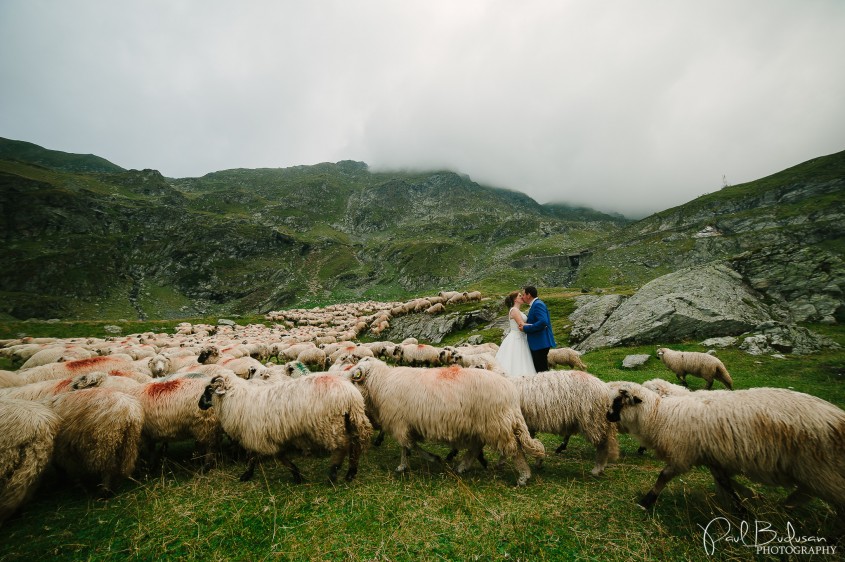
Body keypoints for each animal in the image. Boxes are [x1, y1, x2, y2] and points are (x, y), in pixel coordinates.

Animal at [199, 368, 370, 482]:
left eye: (209, 389)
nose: (199, 404)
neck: (236, 398)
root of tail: (351, 395)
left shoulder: (257, 435)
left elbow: (265, 456)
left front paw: (247, 474)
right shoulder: (266, 436)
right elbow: (276, 455)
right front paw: (296, 474)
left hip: (329, 425)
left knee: (343, 446)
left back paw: (333, 472)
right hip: (350, 420)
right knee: (356, 444)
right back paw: (351, 472)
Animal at [346, 358, 544, 486]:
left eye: (352, 377)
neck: (380, 383)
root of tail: (511, 391)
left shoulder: (399, 423)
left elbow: (406, 446)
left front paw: (404, 465)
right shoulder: (407, 423)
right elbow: (410, 445)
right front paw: (428, 459)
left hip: (496, 424)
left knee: (515, 448)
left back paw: (523, 476)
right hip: (484, 425)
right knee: (477, 447)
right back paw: (463, 466)